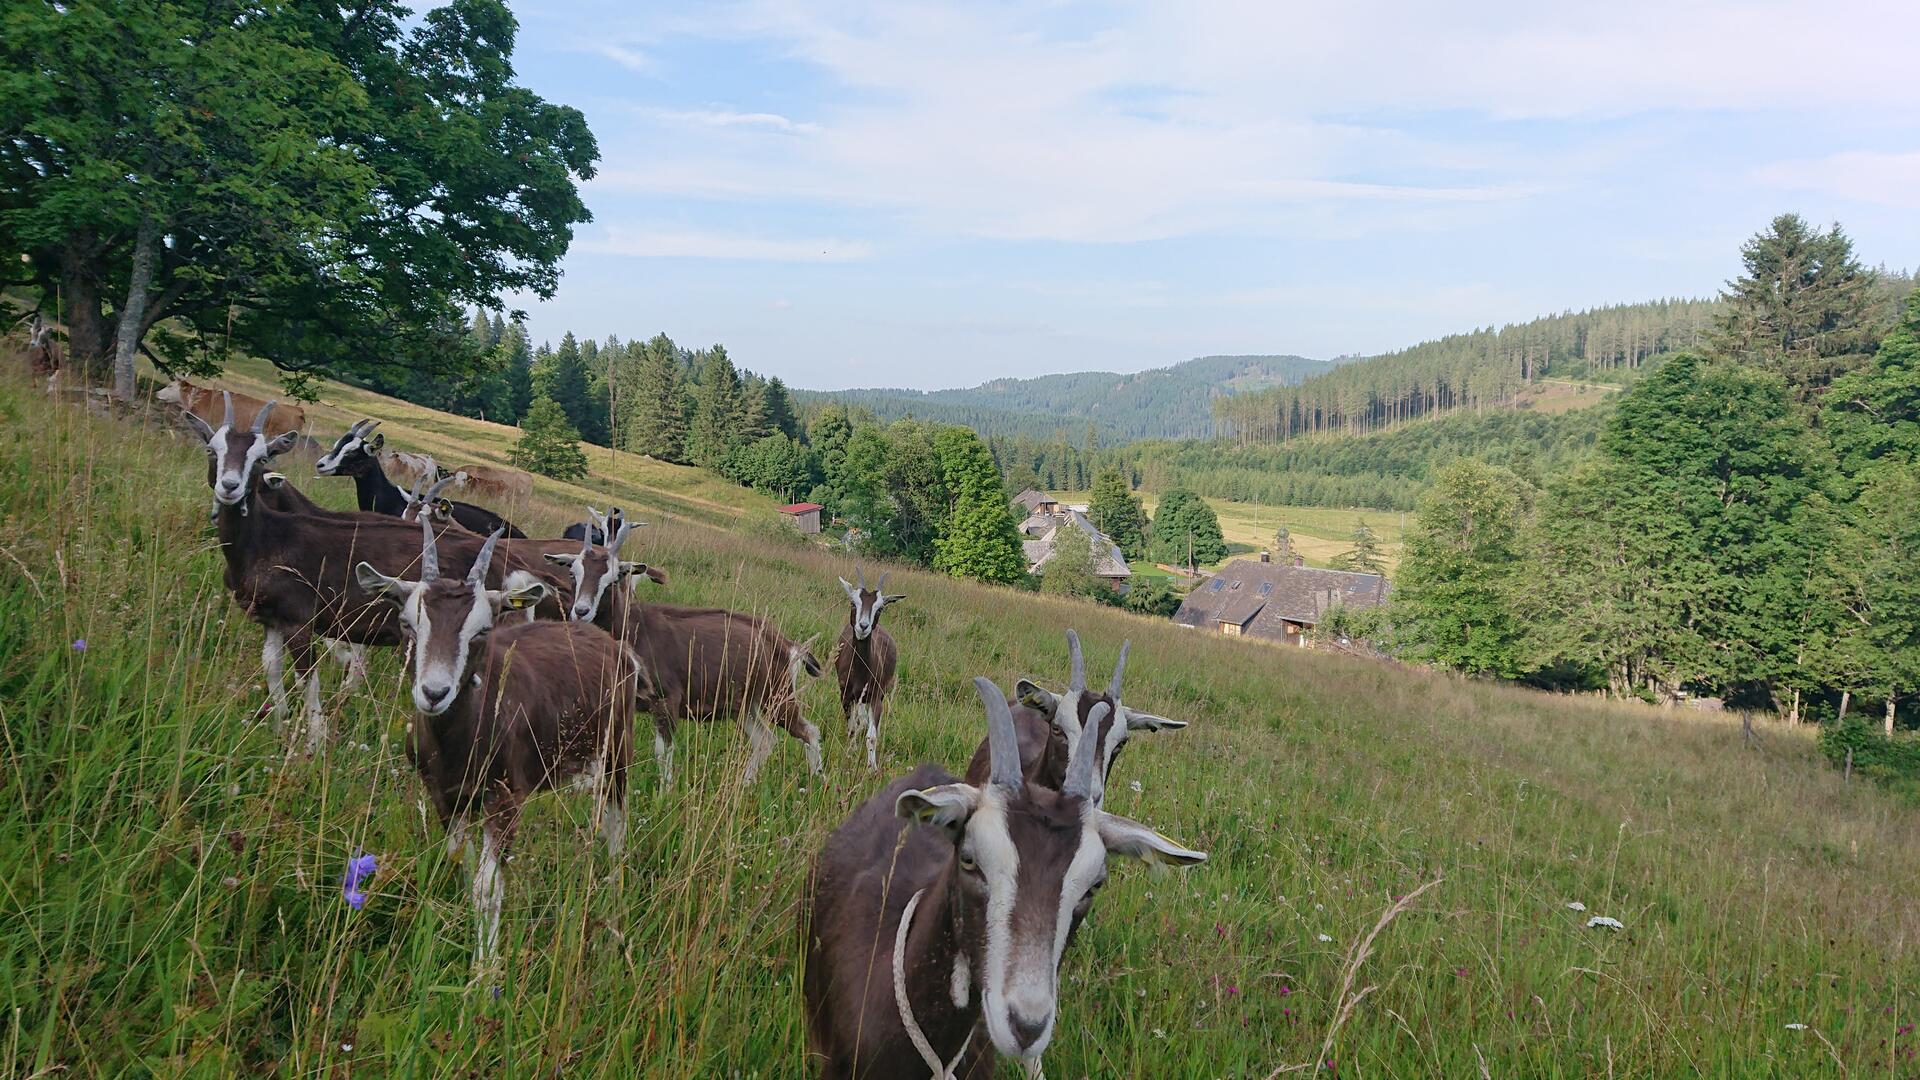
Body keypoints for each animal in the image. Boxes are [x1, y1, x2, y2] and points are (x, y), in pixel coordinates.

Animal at [357, 522, 640, 965]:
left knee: (616, 822)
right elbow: (461, 863)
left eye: (483, 630)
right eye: (407, 623)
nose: (434, 693)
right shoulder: (445, 797)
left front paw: (485, 967)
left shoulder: (504, 799)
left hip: (617, 750)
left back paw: (613, 890)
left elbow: (487, 887)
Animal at [548, 521, 822, 784]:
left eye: (616, 577)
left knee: (808, 732)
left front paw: (665, 793)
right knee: (765, 740)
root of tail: (785, 643)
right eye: (573, 572)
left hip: (777, 696)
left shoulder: (667, 701)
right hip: (745, 705)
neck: (632, 627)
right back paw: (746, 784)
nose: (581, 611)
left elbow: (663, 753)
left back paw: (819, 782)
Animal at [835, 567, 904, 772]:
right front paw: (851, 752)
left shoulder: (875, 697)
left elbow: (871, 736)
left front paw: (872, 767)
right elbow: (851, 727)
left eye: (880, 608)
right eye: (853, 603)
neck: (860, 674)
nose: (863, 626)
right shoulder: (846, 695)